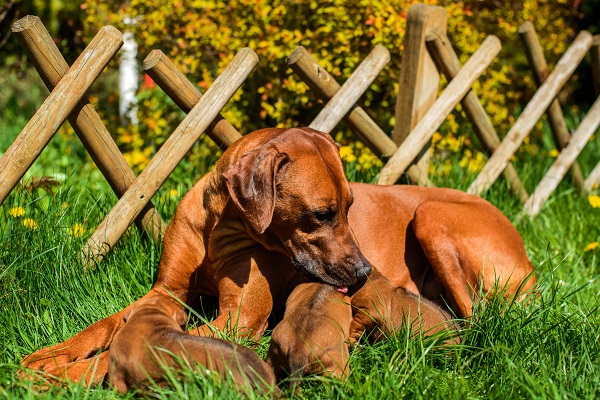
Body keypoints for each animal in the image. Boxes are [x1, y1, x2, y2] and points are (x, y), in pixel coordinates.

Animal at [21, 127, 536, 382]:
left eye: (350, 207)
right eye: (320, 214)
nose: (363, 271)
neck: (221, 225)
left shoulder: (237, 321)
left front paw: (67, 376)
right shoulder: (165, 293)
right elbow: (105, 325)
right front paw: (51, 356)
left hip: (431, 216)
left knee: (477, 319)